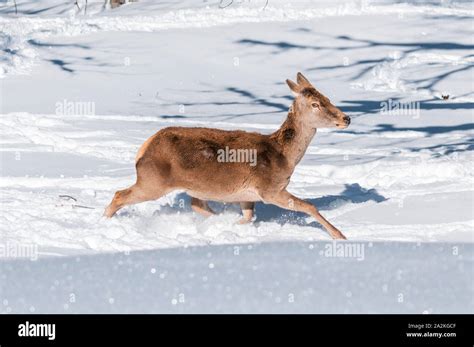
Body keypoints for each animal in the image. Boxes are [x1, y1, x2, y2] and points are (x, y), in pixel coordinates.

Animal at [103, 72, 350, 241]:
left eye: (328, 98)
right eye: (315, 104)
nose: (346, 118)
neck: (285, 157)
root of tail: (143, 149)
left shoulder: (248, 195)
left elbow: (248, 217)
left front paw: (232, 225)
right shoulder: (269, 188)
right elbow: (309, 206)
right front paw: (340, 235)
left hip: (192, 186)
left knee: (196, 205)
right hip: (153, 181)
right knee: (119, 194)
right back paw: (104, 221)